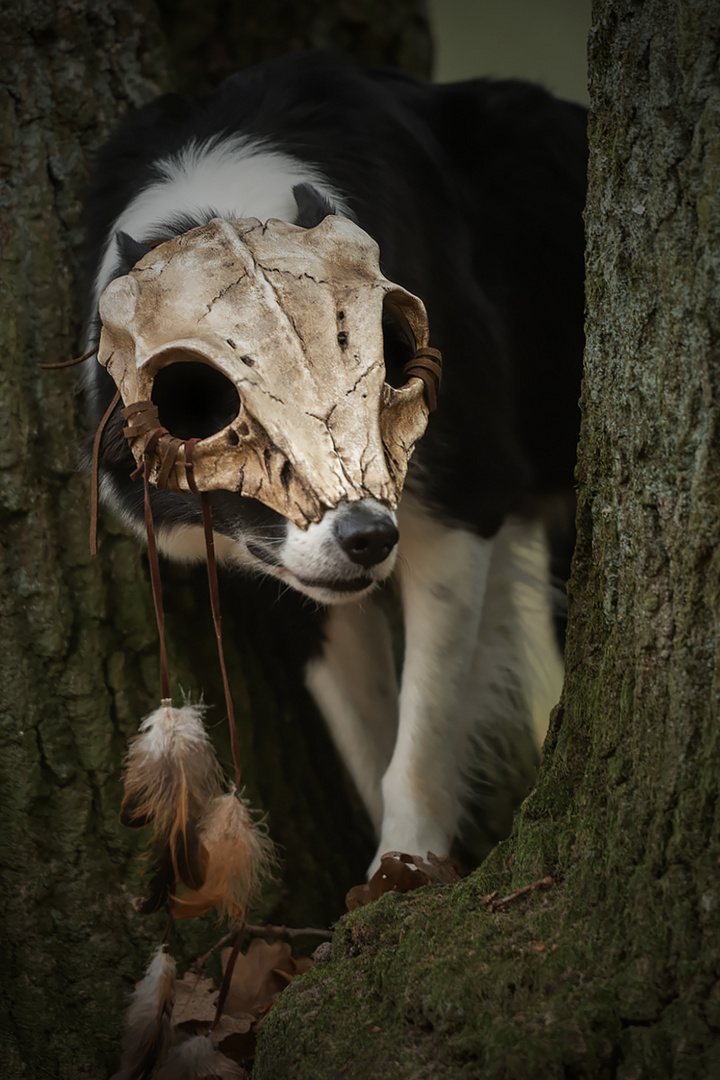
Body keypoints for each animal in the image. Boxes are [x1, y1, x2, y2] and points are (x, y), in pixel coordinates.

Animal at [83, 52, 587, 876]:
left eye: (366, 388)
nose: (369, 541)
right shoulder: (289, 573)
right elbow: (367, 731)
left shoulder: (464, 495)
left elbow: (422, 727)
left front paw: (407, 871)